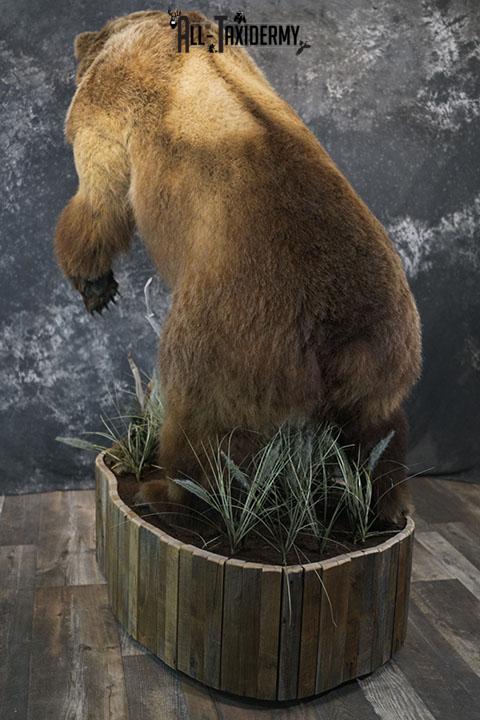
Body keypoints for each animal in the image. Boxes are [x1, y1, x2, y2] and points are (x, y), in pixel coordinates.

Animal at [55, 10, 421, 523]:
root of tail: (335, 335)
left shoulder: (110, 111)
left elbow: (99, 196)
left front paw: (94, 285)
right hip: (387, 352)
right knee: (380, 431)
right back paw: (380, 504)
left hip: (229, 333)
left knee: (200, 419)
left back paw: (163, 489)